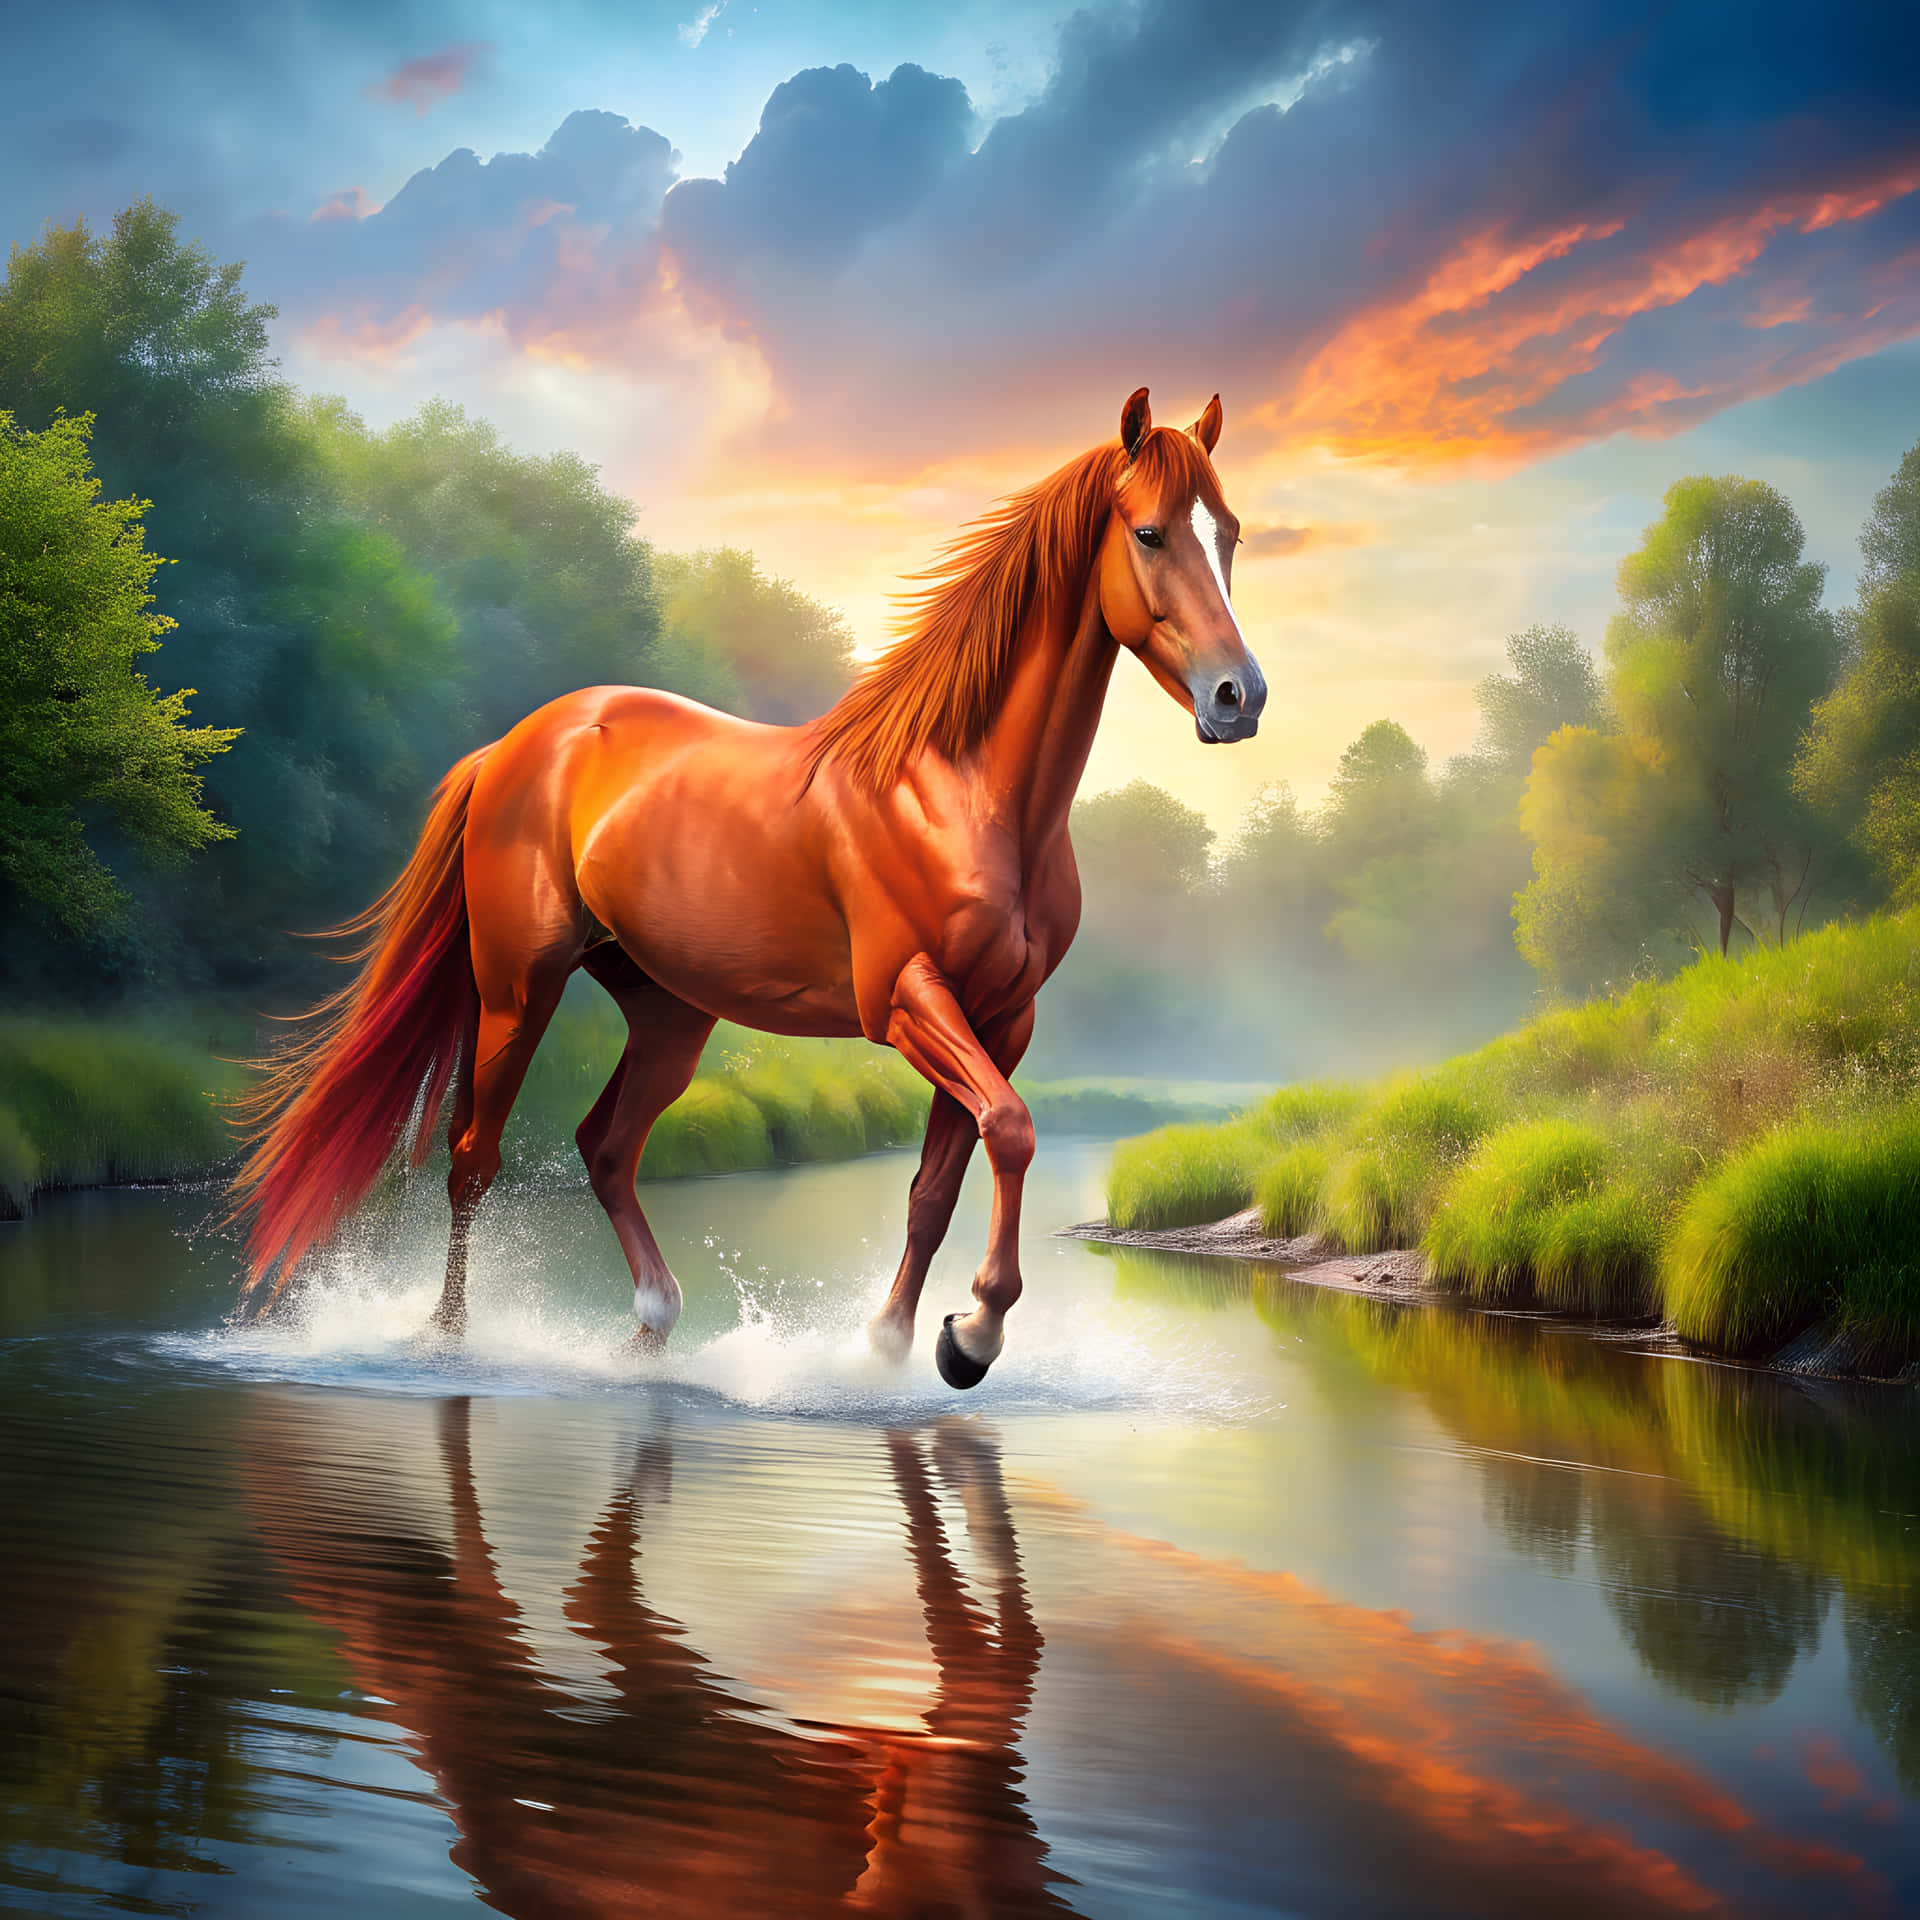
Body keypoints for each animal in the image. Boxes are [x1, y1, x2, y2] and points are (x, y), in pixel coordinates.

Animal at [229, 386, 1266, 1388]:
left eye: (1230, 533)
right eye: (1150, 534)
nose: (1239, 698)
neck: (961, 792)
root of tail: (516, 745)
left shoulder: (1002, 1018)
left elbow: (938, 1186)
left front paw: (897, 1347)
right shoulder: (908, 1000)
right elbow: (1010, 1130)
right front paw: (973, 1334)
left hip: (669, 1012)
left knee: (607, 1148)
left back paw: (653, 1330)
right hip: (517, 990)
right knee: (472, 1158)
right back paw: (451, 1343)